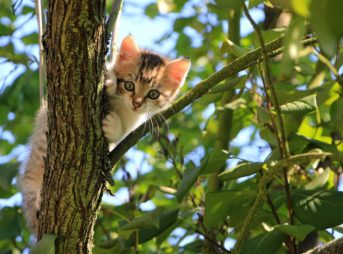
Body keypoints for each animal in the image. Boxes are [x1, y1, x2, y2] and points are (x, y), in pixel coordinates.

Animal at [19, 35, 191, 234]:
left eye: (153, 94)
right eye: (129, 85)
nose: (137, 103)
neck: (123, 107)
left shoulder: (132, 124)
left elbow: (121, 134)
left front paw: (113, 126)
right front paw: (109, 80)